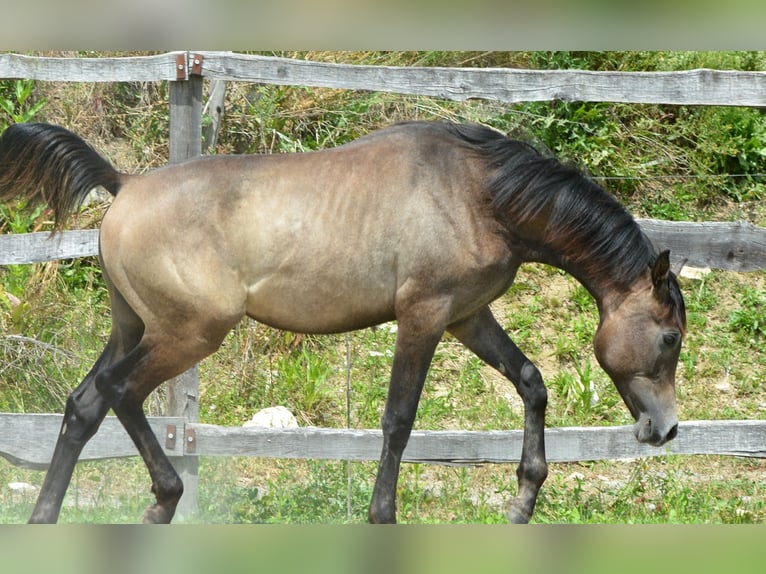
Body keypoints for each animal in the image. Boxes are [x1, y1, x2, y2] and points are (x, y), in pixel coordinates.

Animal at [0, 121, 686, 524]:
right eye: (671, 336)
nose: (667, 429)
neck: (477, 193)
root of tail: (126, 185)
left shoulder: (467, 315)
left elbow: (531, 382)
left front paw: (524, 501)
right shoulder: (424, 317)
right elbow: (399, 420)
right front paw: (382, 516)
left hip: (135, 329)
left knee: (85, 404)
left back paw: (53, 518)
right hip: (188, 334)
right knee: (118, 393)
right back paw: (164, 502)